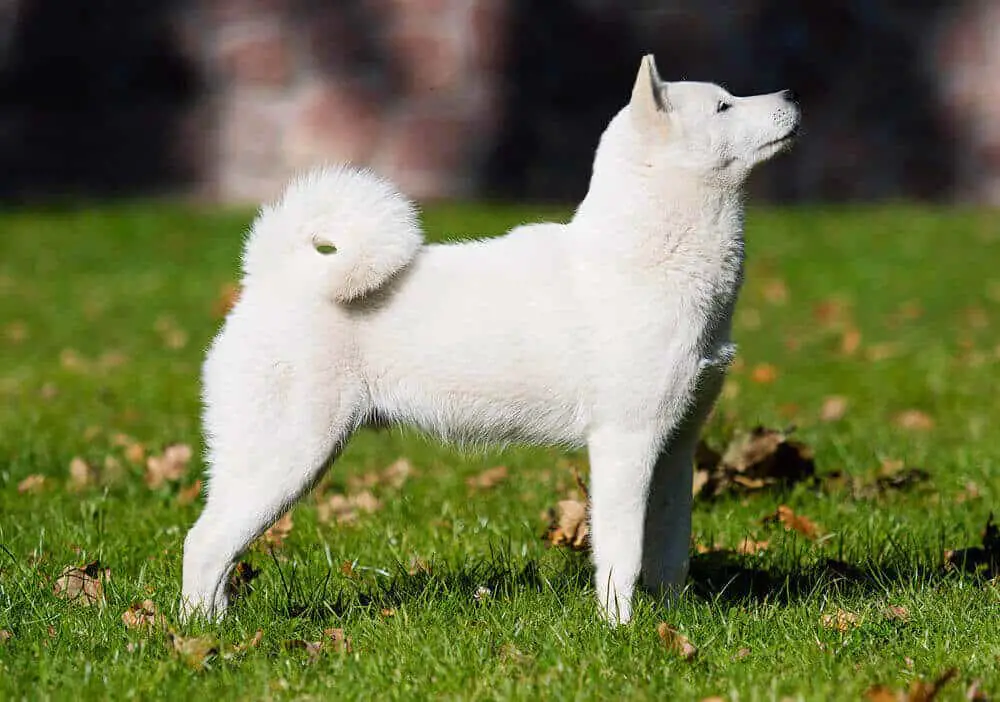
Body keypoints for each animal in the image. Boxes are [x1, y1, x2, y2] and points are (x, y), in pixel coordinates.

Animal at [184, 56, 800, 628]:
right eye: (722, 106)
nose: (792, 94)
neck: (648, 257)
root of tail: (271, 276)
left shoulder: (675, 448)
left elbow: (670, 553)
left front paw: (671, 623)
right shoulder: (625, 445)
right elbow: (622, 555)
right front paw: (620, 631)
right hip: (288, 456)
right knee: (204, 545)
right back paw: (204, 636)